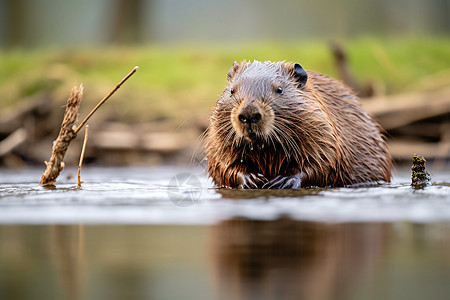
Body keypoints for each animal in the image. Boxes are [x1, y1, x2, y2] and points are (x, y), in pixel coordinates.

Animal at [204, 59, 390, 189]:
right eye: (232, 90)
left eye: (279, 89)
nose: (249, 115)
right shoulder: (218, 133)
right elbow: (222, 161)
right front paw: (252, 179)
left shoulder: (322, 126)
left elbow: (325, 159)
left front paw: (283, 180)